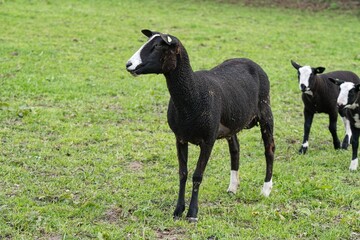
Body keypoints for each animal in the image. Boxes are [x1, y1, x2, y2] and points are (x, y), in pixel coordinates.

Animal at [126, 30, 276, 223]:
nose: (129, 64)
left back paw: (265, 190)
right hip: (231, 123)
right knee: (235, 149)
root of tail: (249, 60)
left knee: (269, 149)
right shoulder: (180, 138)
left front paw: (192, 214)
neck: (193, 94)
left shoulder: (208, 140)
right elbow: (183, 173)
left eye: (158, 46)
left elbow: (197, 176)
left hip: (266, 111)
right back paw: (232, 188)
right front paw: (178, 211)